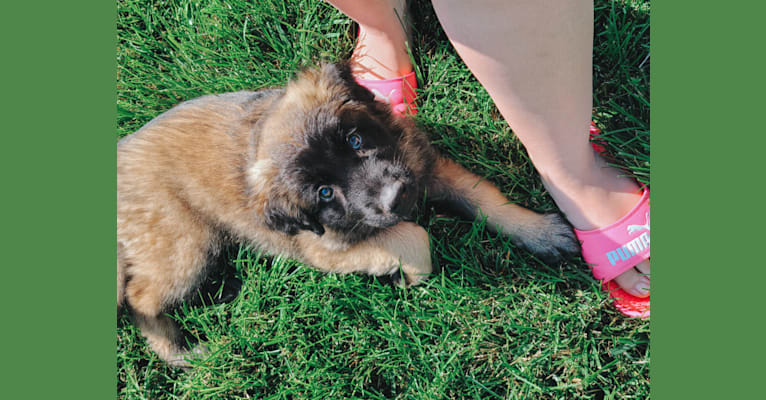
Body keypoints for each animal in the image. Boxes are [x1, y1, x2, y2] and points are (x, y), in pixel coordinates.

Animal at [117, 63, 580, 368]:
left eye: (355, 140)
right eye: (324, 193)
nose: (396, 197)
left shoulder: (423, 166)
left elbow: (485, 198)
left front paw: (541, 232)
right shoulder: (325, 249)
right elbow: (414, 236)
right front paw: (409, 276)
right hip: (186, 246)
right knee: (139, 298)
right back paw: (179, 352)